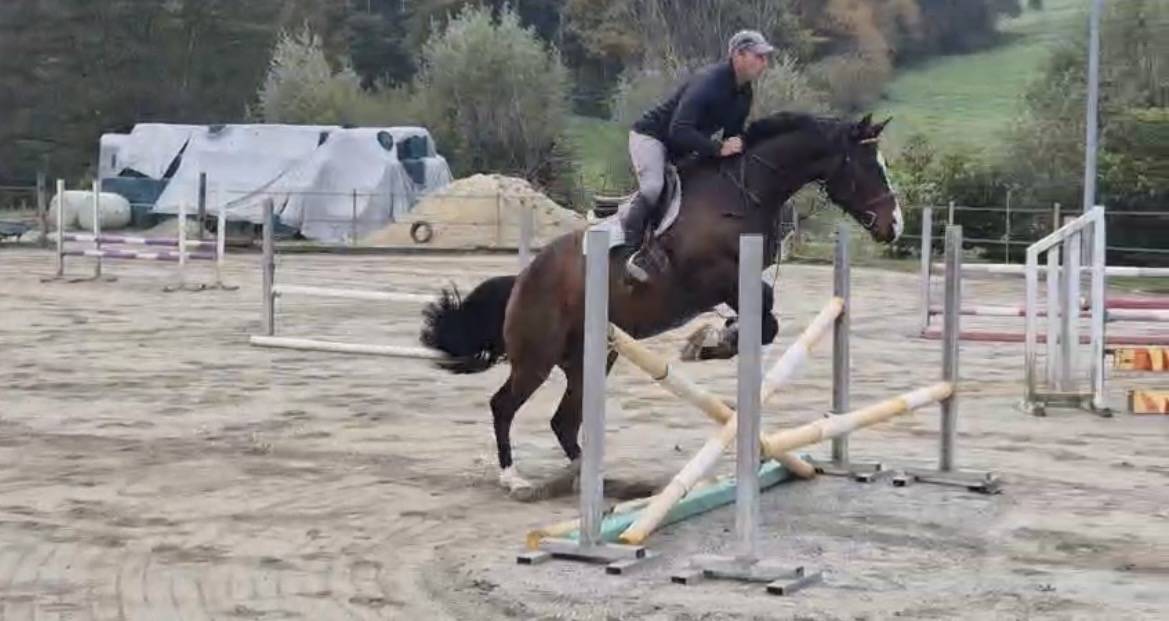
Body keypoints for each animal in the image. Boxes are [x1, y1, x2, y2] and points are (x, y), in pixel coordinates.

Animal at [419, 112, 903, 498]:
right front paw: (709, 342)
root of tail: (522, 278)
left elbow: (766, 320)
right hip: (537, 356)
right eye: (867, 166)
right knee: (504, 406)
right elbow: (763, 314)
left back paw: (593, 479)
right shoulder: (711, 277)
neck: (743, 192)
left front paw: (715, 339)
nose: (894, 226)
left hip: (592, 356)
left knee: (564, 421)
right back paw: (515, 478)